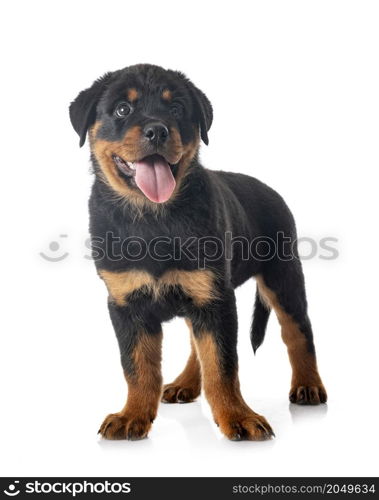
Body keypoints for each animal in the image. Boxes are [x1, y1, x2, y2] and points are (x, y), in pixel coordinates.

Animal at [70, 63, 328, 442]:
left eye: (177, 108)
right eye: (122, 109)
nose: (157, 130)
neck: (153, 217)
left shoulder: (216, 299)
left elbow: (222, 364)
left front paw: (238, 417)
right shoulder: (126, 303)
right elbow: (138, 367)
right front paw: (132, 415)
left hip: (283, 275)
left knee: (298, 331)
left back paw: (308, 386)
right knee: (196, 343)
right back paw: (186, 384)